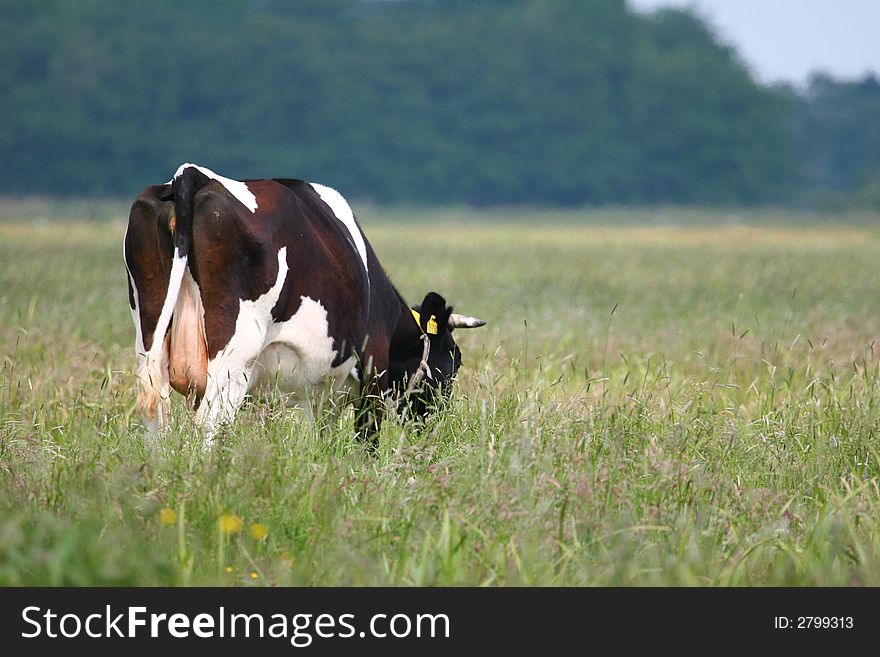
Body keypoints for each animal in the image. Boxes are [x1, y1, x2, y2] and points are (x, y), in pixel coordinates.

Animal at [121, 164, 484, 446]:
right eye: (454, 361)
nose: (434, 426)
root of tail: (193, 175)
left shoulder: (321, 392)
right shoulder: (371, 371)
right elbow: (366, 440)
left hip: (149, 333)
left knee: (154, 412)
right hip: (235, 349)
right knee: (211, 420)